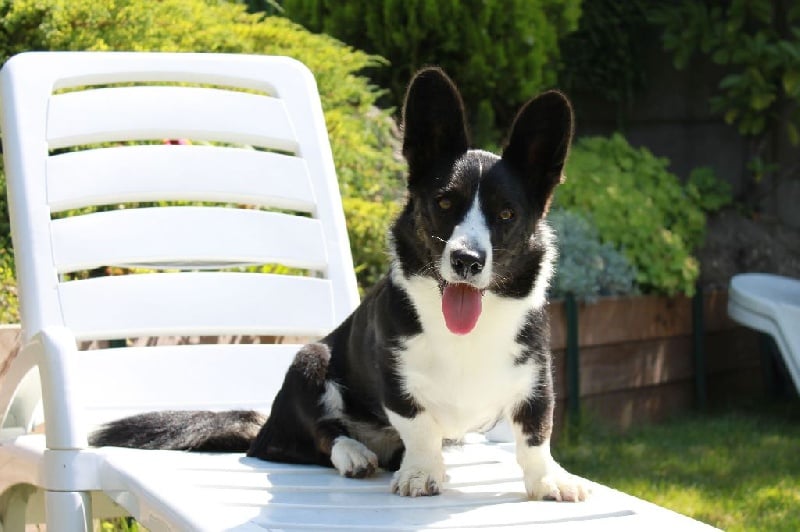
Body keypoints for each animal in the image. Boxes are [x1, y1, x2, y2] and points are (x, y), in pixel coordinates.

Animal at [91, 67, 589, 502]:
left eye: (506, 214)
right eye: (445, 203)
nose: (466, 260)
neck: (467, 333)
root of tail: (265, 423)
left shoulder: (536, 384)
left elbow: (534, 437)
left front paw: (549, 481)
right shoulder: (396, 385)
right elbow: (421, 428)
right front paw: (421, 473)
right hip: (309, 361)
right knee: (315, 436)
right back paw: (353, 453)